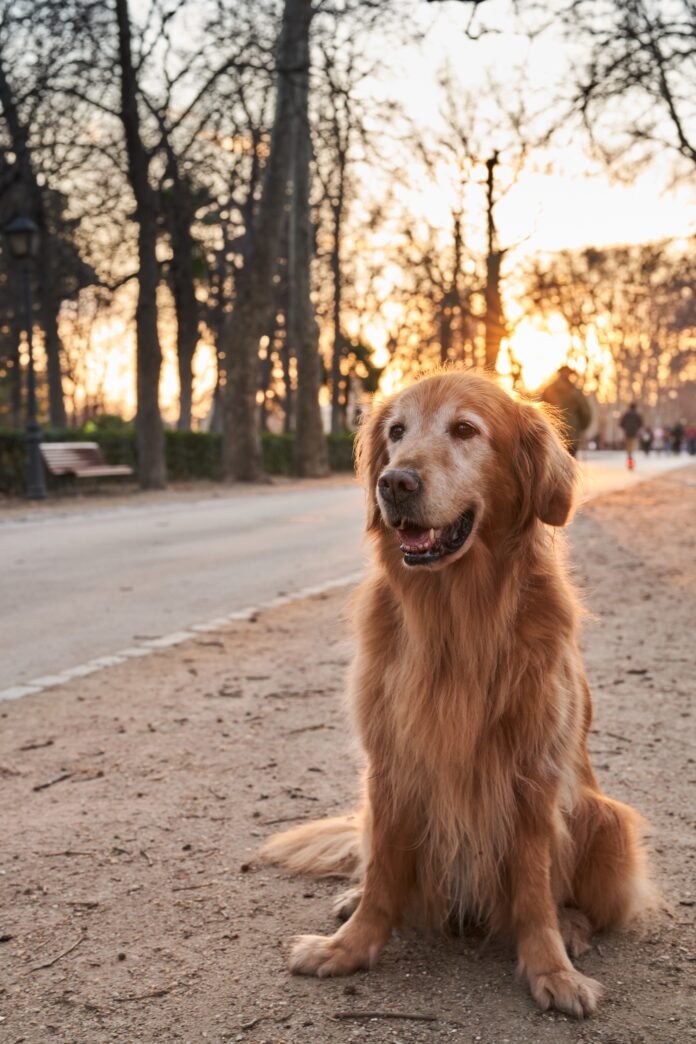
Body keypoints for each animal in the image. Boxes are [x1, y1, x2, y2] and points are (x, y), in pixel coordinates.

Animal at [260, 371, 655, 1014]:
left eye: (466, 430)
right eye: (396, 432)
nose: (394, 482)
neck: (455, 618)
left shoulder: (532, 773)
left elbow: (533, 884)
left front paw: (551, 968)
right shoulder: (391, 764)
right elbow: (384, 872)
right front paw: (349, 945)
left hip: (606, 819)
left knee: (583, 903)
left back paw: (572, 928)